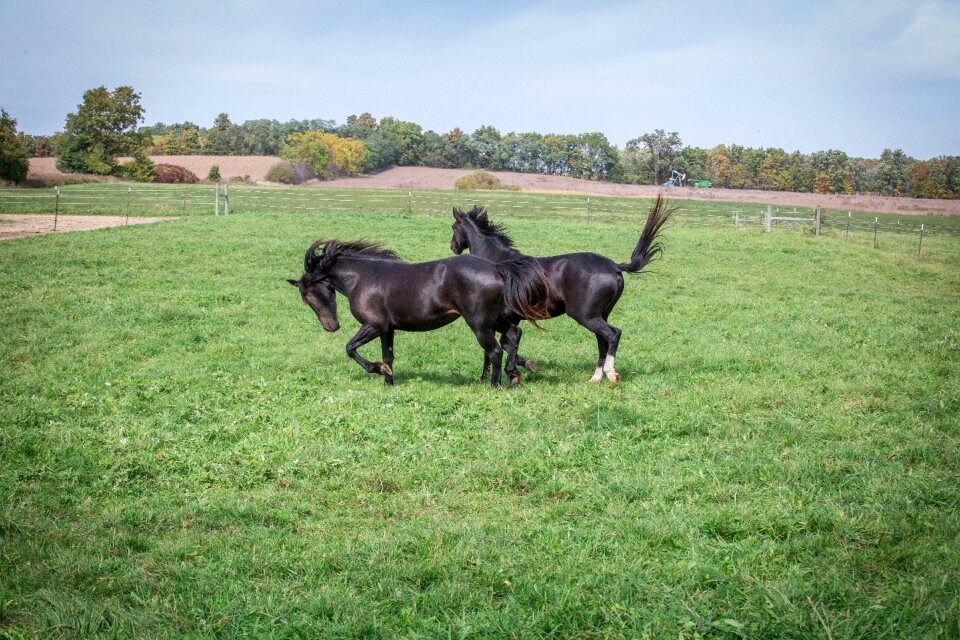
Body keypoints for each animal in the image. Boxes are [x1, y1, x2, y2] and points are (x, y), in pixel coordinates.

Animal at [286, 240, 548, 388]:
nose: (331, 326)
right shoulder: (387, 329)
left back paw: (495, 385)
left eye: (307, 298)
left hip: (479, 323)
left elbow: (350, 348)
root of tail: (496, 268)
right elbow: (389, 356)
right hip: (494, 320)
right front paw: (388, 381)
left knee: (494, 351)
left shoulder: (373, 325)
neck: (364, 278)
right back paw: (514, 374)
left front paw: (377, 369)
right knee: (513, 334)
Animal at [450, 195, 676, 382]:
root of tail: (614, 266)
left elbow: (500, 345)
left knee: (613, 334)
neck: (497, 261)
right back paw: (596, 378)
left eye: (453, 227)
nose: (453, 247)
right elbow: (506, 343)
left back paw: (610, 373)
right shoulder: (509, 317)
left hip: (585, 315)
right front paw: (519, 368)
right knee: (602, 341)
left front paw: (500, 373)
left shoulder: (499, 317)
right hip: (598, 315)